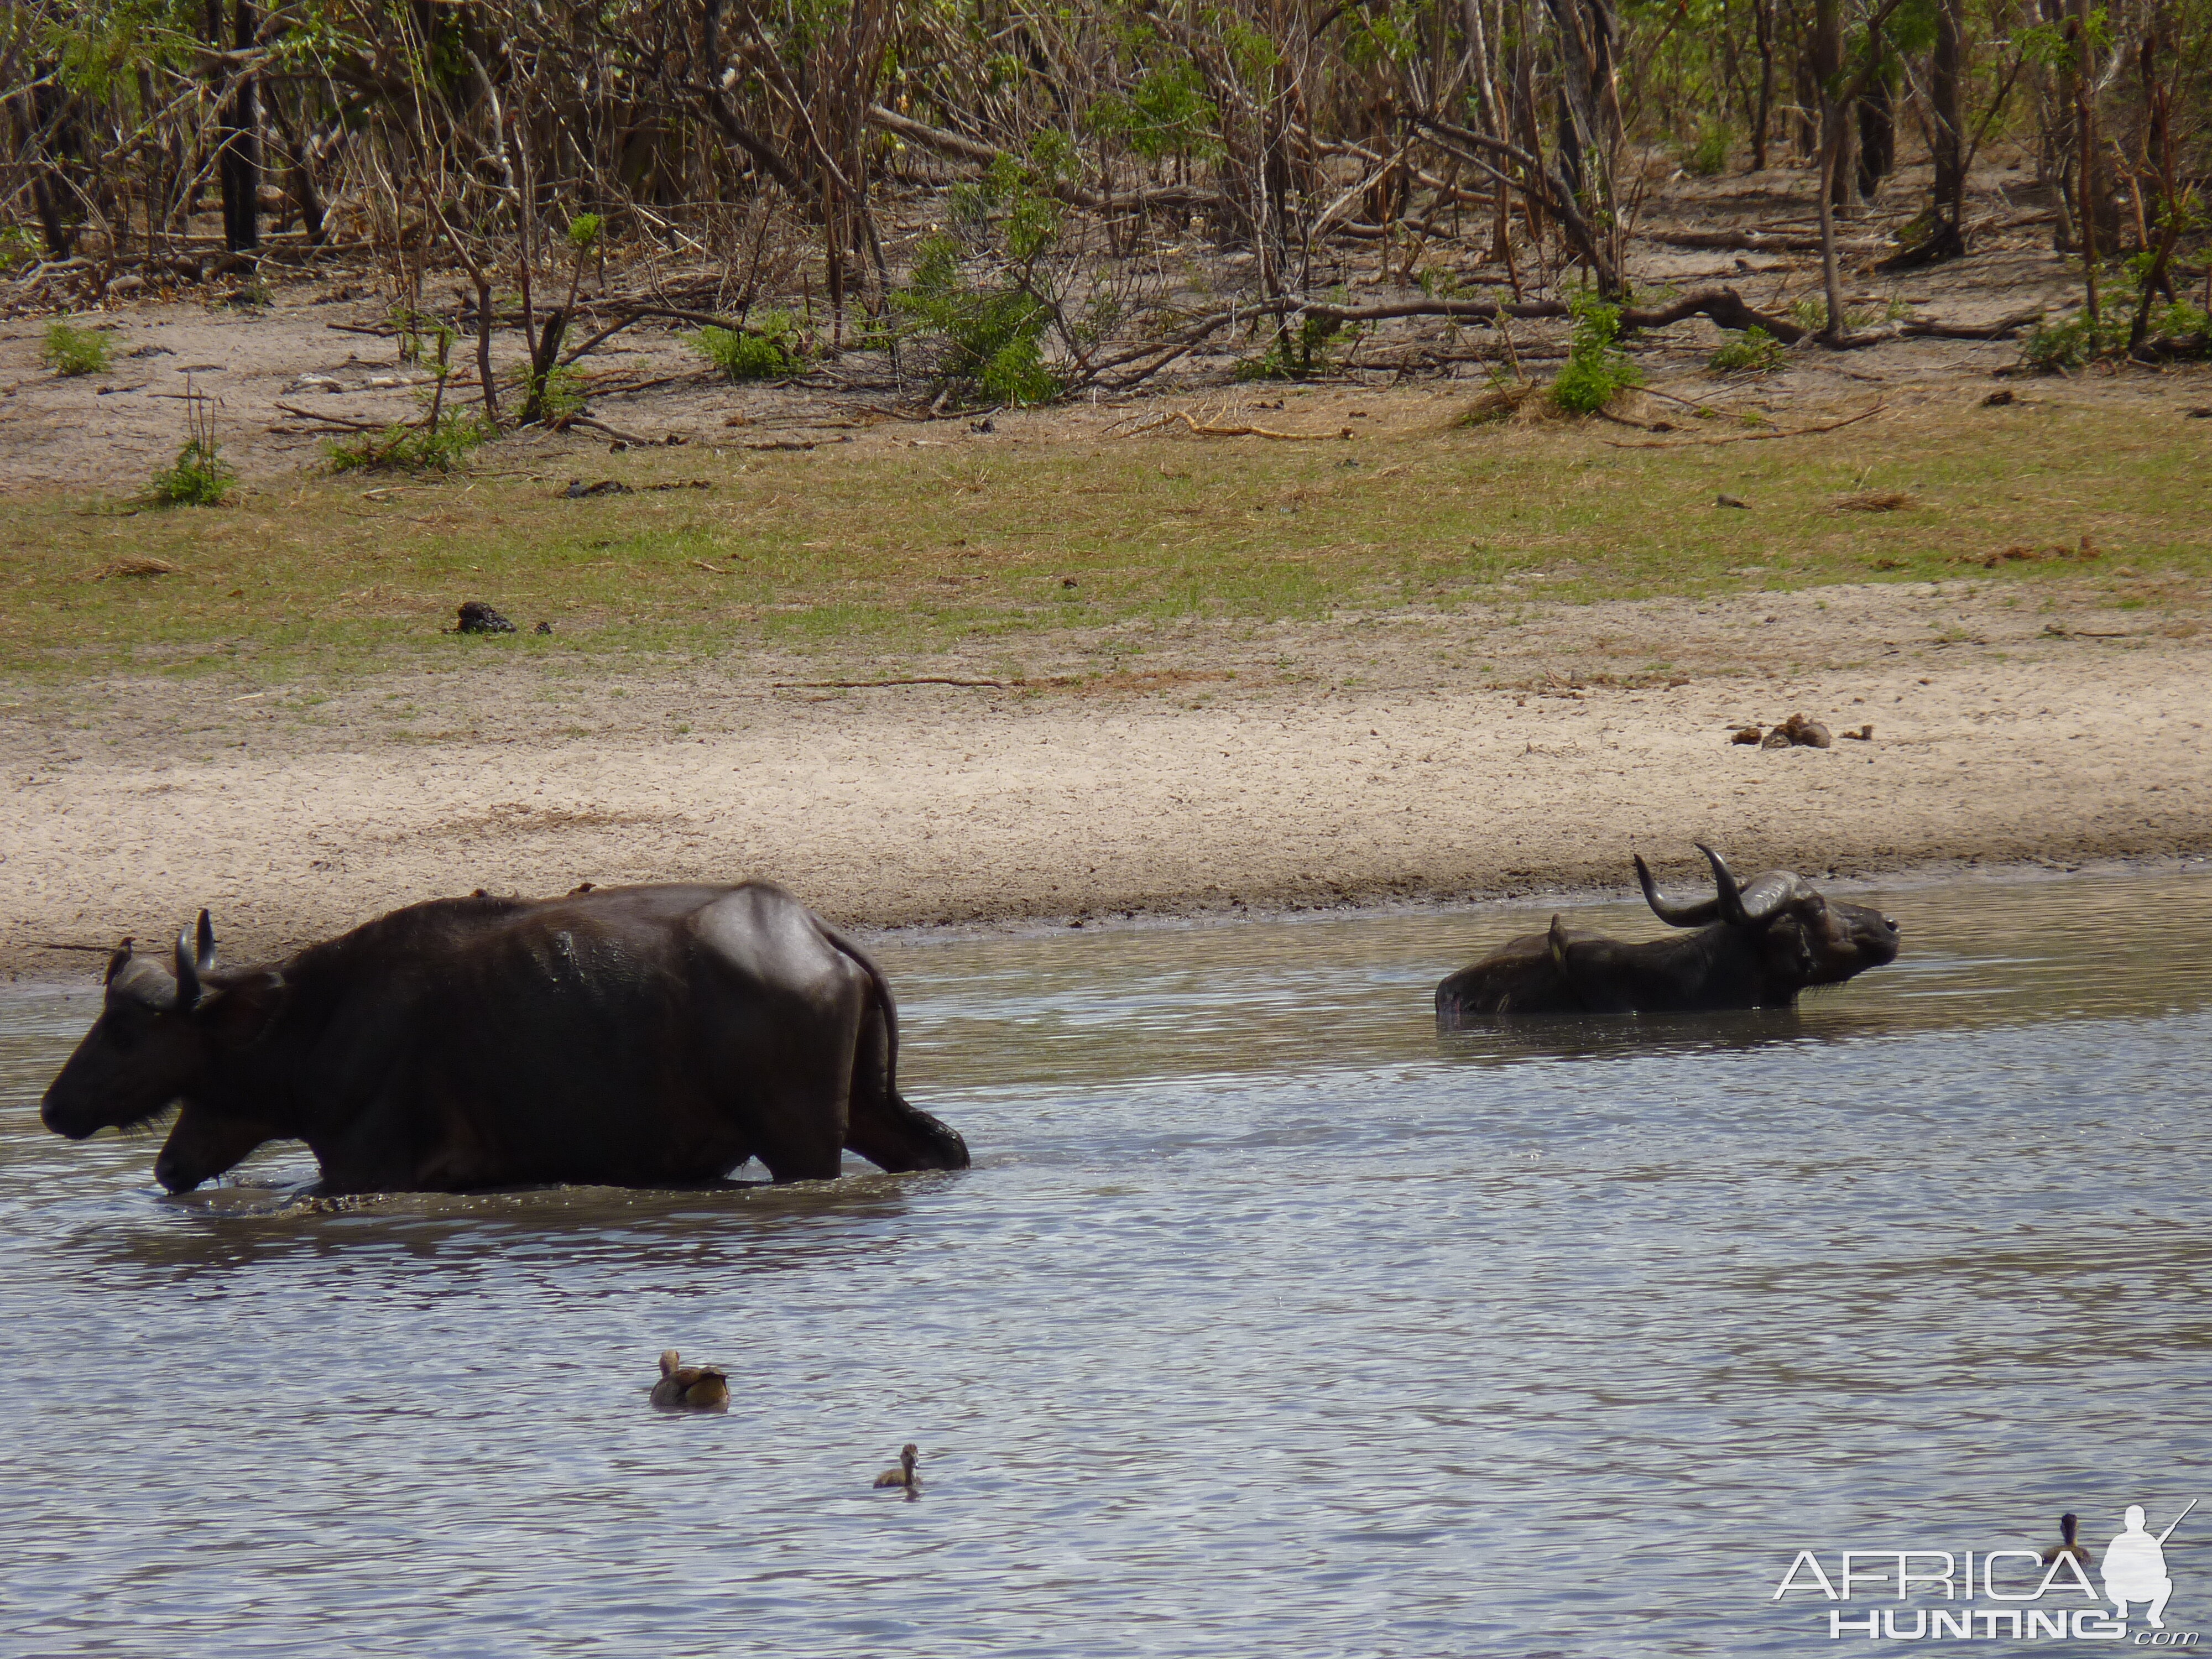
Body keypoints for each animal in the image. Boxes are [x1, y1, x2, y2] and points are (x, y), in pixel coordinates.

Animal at [41, 885, 969, 1194]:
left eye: (124, 1028)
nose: (53, 1107)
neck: (319, 1019)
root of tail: (811, 930)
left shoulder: (365, 1171)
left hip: (801, 1142)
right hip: (867, 1109)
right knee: (939, 1149)